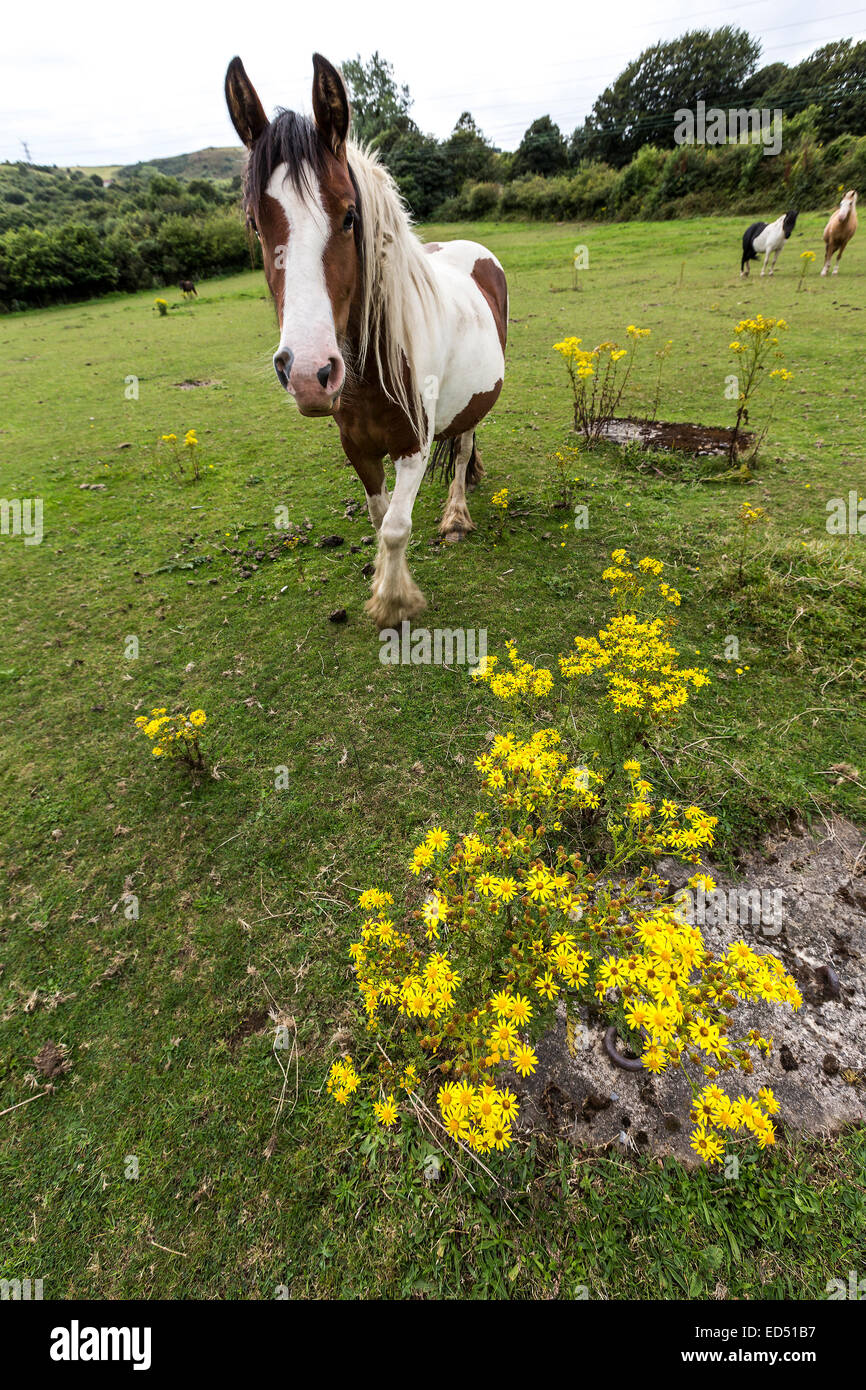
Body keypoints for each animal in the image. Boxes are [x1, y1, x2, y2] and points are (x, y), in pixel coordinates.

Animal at [223, 48, 508, 625]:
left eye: (350, 215)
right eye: (257, 225)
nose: (308, 373)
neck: (376, 363)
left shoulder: (413, 446)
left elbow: (397, 527)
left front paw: (394, 602)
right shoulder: (356, 446)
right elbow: (380, 521)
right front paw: (383, 583)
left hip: (475, 404)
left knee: (463, 448)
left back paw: (456, 516)